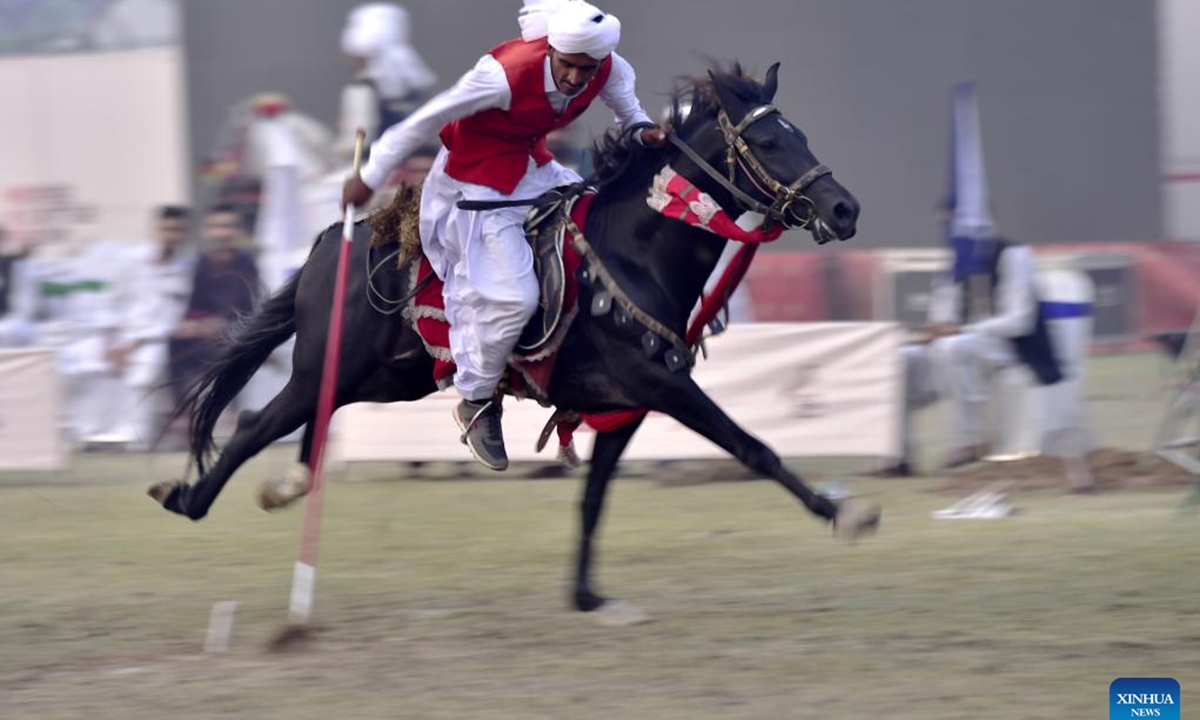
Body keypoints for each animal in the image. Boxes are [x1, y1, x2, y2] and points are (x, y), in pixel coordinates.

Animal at [150, 63, 883, 619]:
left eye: (799, 135)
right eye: (770, 145)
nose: (845, 208)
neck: (637, 252)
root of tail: (337, 236)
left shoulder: (628, 405)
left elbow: (594, 498)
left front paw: (586, 595)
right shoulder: (664, 385)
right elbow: (753, 446)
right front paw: (841, 513)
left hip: (382, 378)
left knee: (313, 425)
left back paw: (291, 483)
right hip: (323, 371)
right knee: (255, 427)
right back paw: (189, 498)